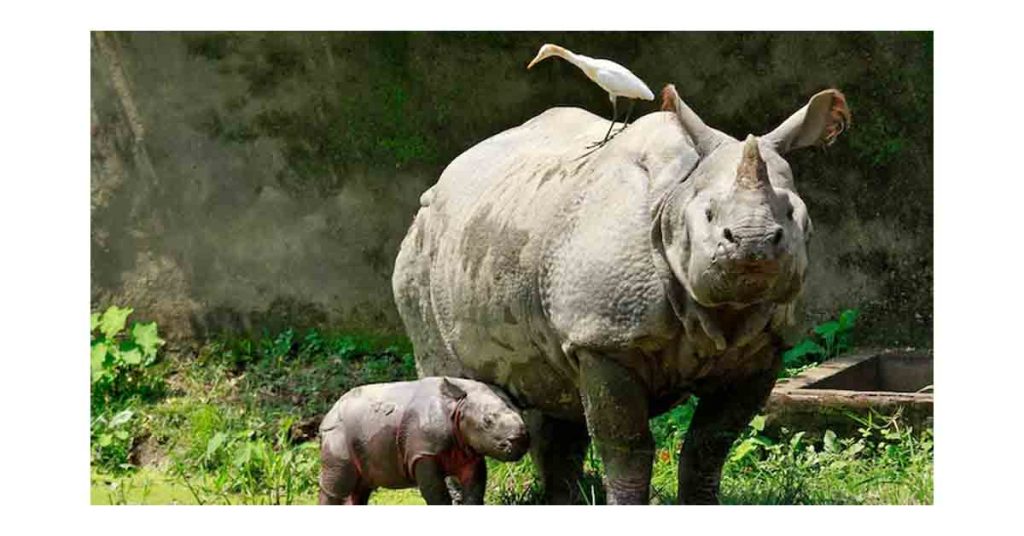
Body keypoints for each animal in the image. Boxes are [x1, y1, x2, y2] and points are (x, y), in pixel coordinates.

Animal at [392, 84, 849, 504]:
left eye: (791, 213)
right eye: (708, 214)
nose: (753, 244)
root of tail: (444, 178)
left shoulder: (764, 349)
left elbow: (710, 443)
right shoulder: (604, 340)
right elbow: (626, 444)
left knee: (556, 393)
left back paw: (565, 501)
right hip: (419, 250)